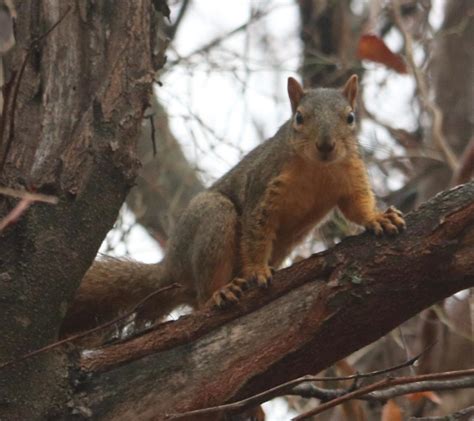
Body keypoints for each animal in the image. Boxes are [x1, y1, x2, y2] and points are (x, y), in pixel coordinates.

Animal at [61, 74, 406, 338]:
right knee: (203, 296)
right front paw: (257, 270)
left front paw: (379, 218)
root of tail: (170, 267)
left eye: (350, 117)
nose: (326, 145)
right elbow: (256, 230)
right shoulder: (264, 184)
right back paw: (221, 292)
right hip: (213, 219)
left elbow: (356, 206)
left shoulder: (350, 174)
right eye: (299, 118)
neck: (317, 168)